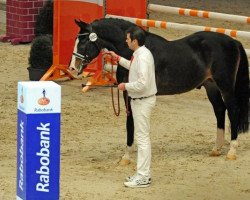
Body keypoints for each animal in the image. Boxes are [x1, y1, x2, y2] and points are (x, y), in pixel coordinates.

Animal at [71, 16, 249, 161]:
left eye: (84, 42)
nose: (73, 68)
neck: (133, 51)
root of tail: (233, 42)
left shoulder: (131, 93)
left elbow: (130, 123)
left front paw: (126, 157)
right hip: (211, 86)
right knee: (219, 110)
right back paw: (216, 149)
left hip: (225, 86)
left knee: (233, 111)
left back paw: (231, 151)